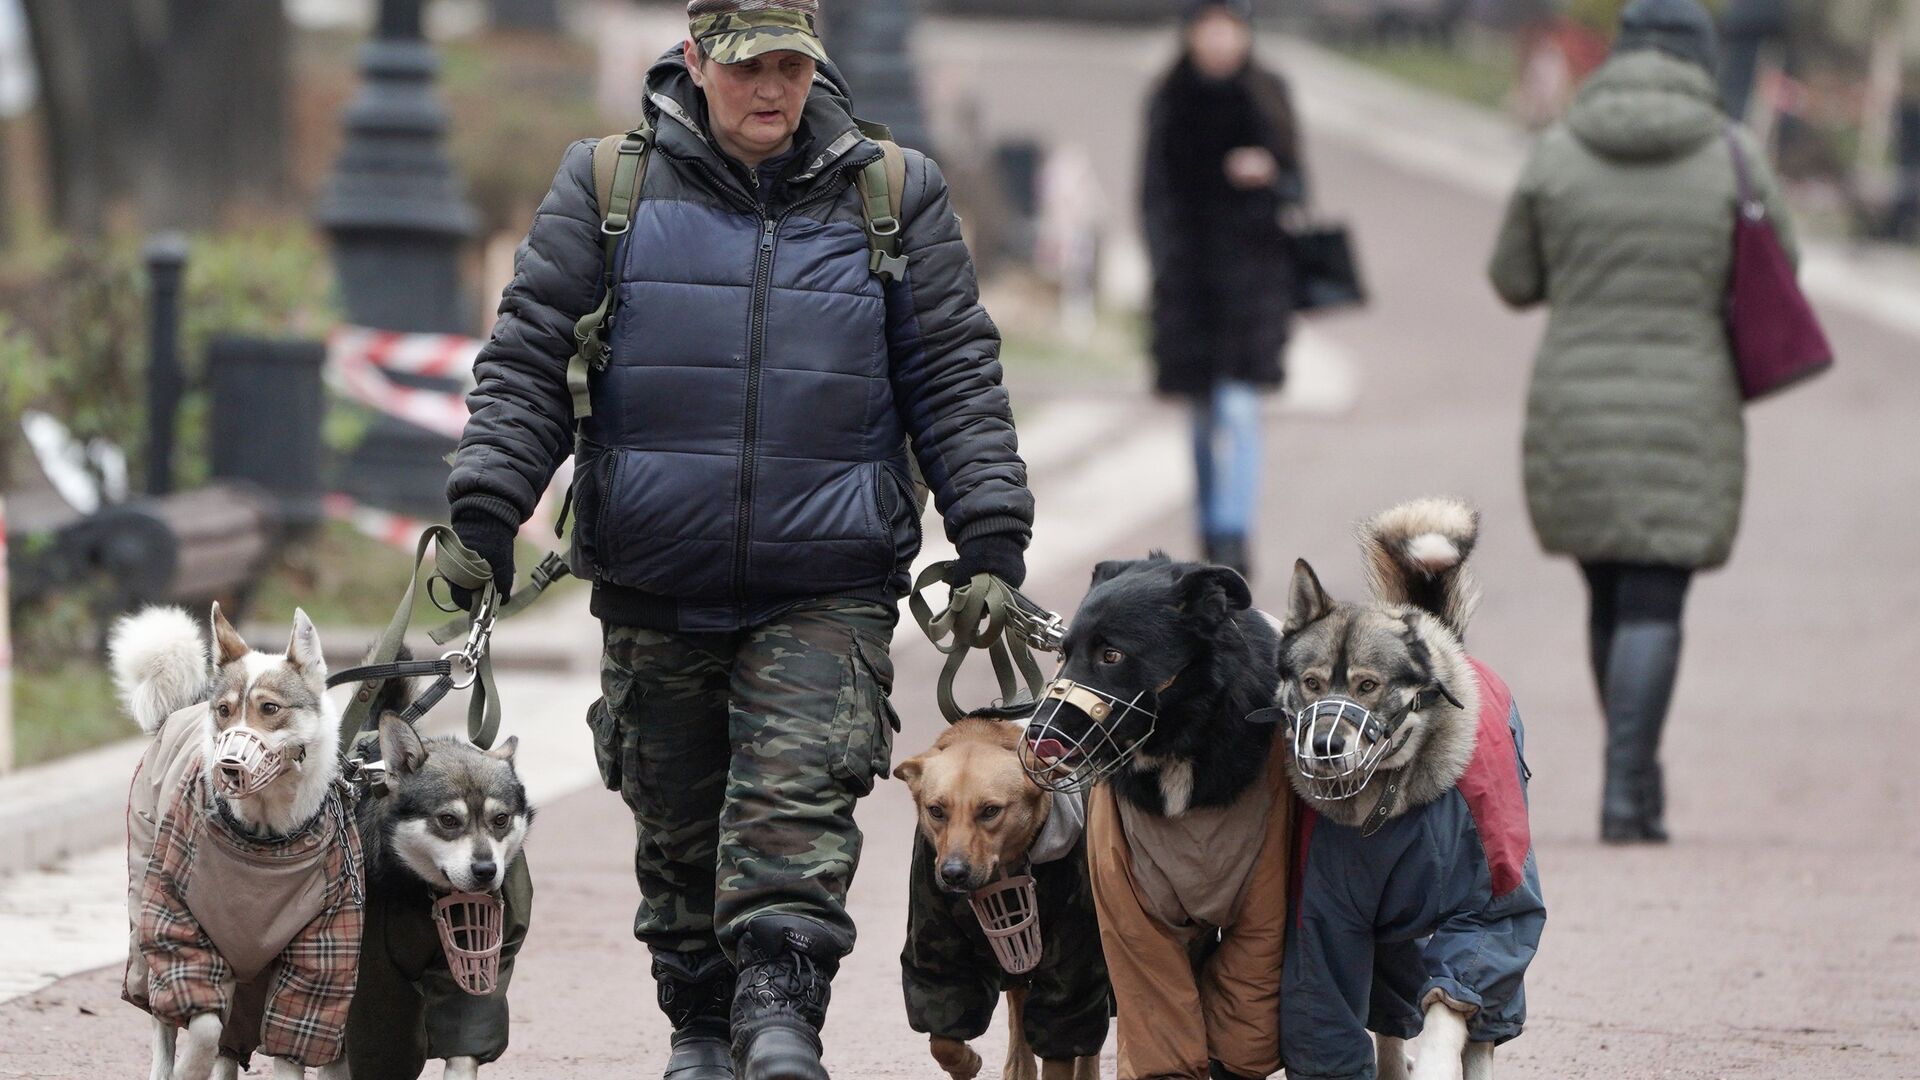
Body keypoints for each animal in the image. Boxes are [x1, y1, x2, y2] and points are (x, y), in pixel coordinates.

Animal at [1267, 499, 1551, 1076]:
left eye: (1368, 685)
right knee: (1391, 1016)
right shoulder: (1323, 921)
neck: (1385, 805)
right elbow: (1327, 1011)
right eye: (1310, 682)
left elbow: (1452, 1001)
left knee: (1483, 1026)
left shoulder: (1484, 914)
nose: (1324, 746)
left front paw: (1439, 1059)